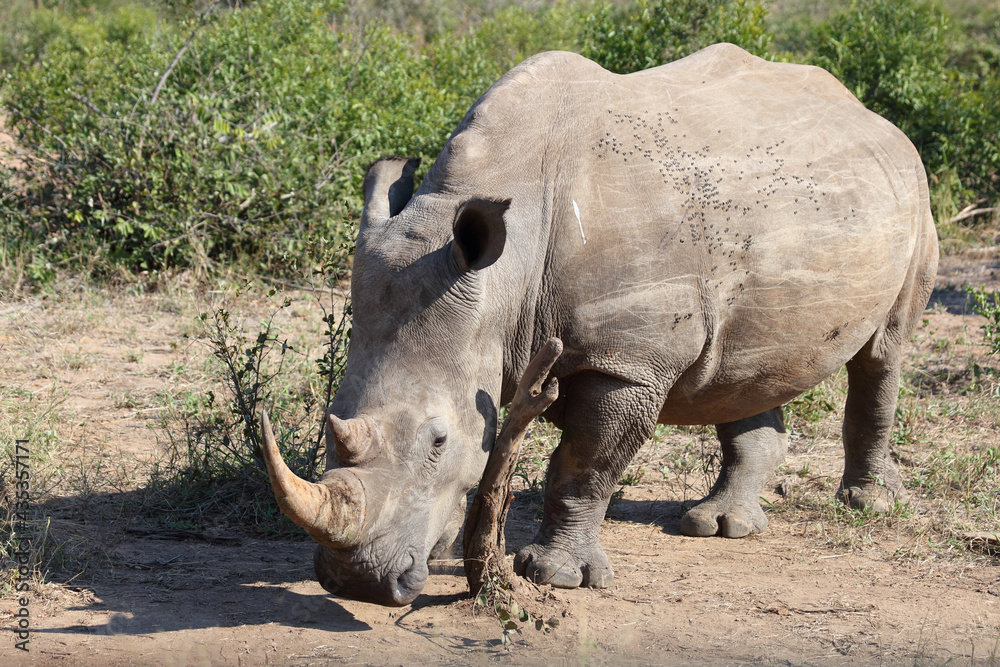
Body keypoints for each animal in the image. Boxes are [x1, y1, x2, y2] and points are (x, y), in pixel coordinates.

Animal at [262, 43, 938, 606]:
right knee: (746, 365)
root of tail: (868, 113)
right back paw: (718, 526)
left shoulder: (629, 361)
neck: (505, 278)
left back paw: (869, 504)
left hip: (916, 187)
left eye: (439, 441)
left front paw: (556, 576)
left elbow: (585, 464)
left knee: (883, 353)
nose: (359, 583)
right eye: (332, 423)